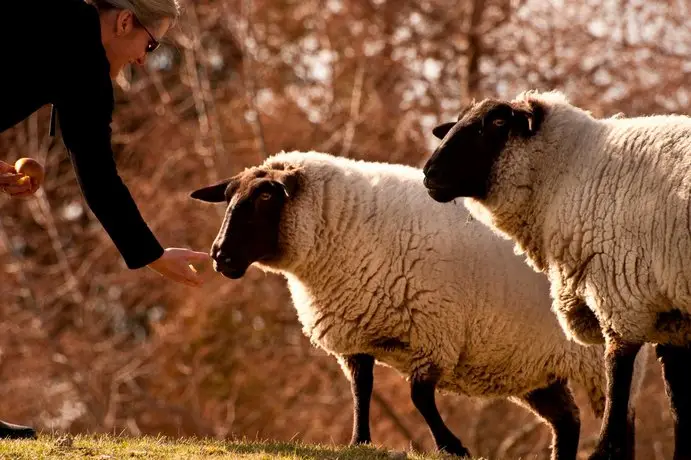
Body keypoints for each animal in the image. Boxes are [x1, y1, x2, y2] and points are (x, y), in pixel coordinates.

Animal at [188, 151, 644, 460]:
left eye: (266, 198)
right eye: (228, 198)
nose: (219, 256)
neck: (339, 231)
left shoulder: (434, 329)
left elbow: (419, 397)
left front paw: (451, 445)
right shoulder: (357, 333)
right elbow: (362, 389)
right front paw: (360, 441)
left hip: (598, 359)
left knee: (619, 419)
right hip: (535, 366)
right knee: (567, 422)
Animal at [422, 89, 691, 460]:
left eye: (498, 122)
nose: (429, 174)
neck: (569, 171)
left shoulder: (622, 292)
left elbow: (618, 372)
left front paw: (605, 450)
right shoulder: (671, 315)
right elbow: (677, 398)